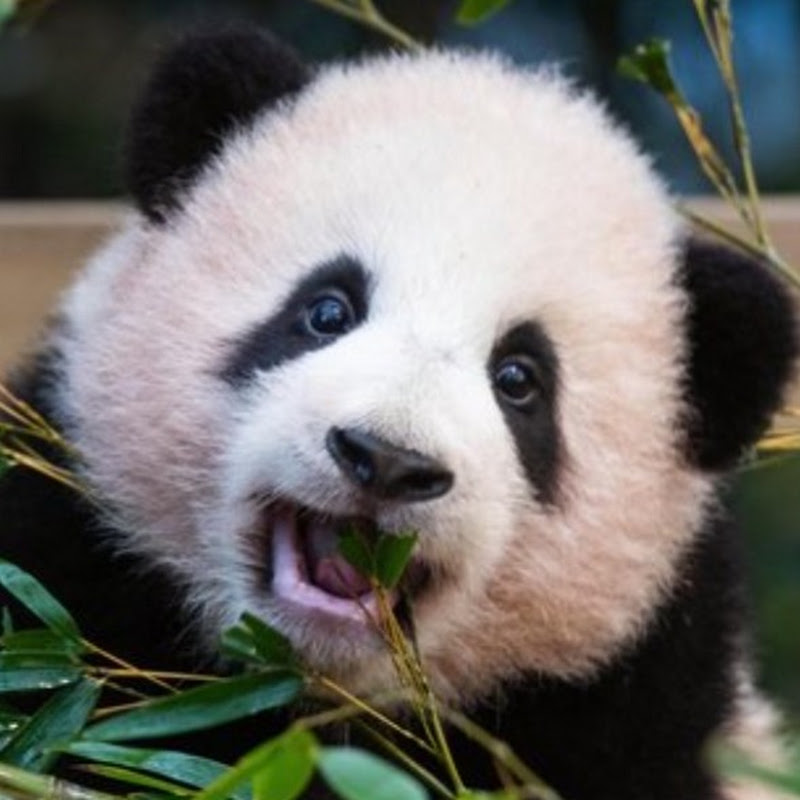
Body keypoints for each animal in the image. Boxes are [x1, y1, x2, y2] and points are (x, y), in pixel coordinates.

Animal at [1, 26, 798, 800]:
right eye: (327, 309)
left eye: (520, 380)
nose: (386, 458)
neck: (312, 698)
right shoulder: (69, 551)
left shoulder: (638, 697)